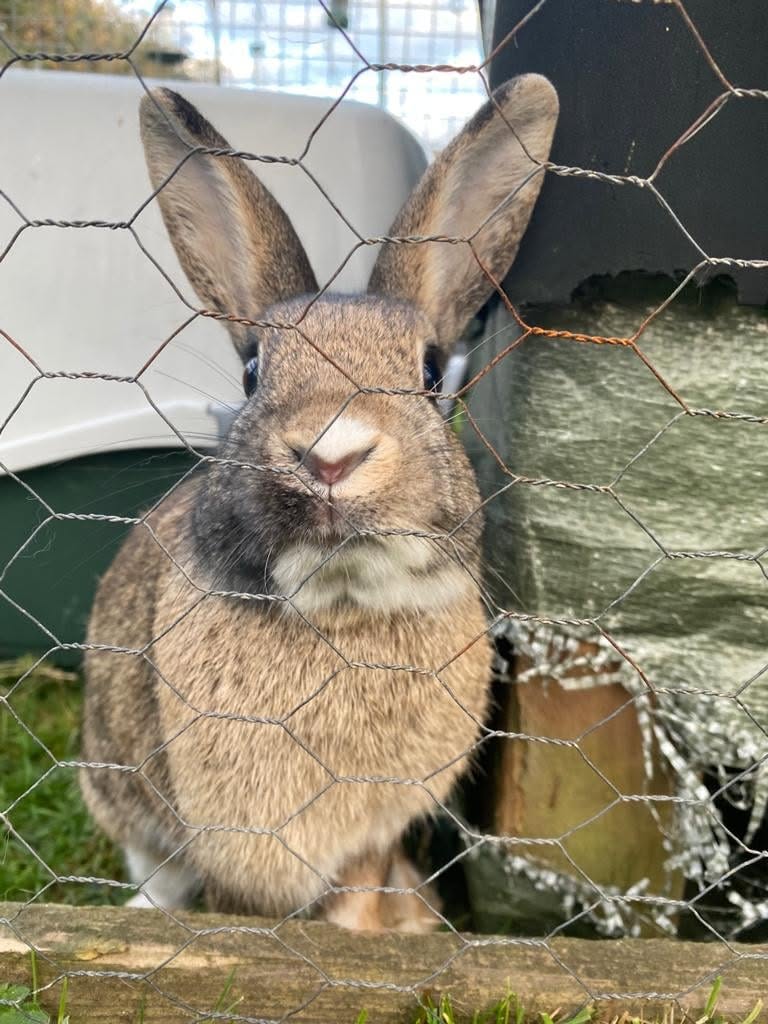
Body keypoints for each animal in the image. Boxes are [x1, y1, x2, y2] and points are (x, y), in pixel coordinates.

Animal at [80, 75, 558, 932]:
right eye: (252, 374)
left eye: (430, 375)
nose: (330, 457)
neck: (342, 605)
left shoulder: (370, 835)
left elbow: (358, 896)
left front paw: (370, 935)